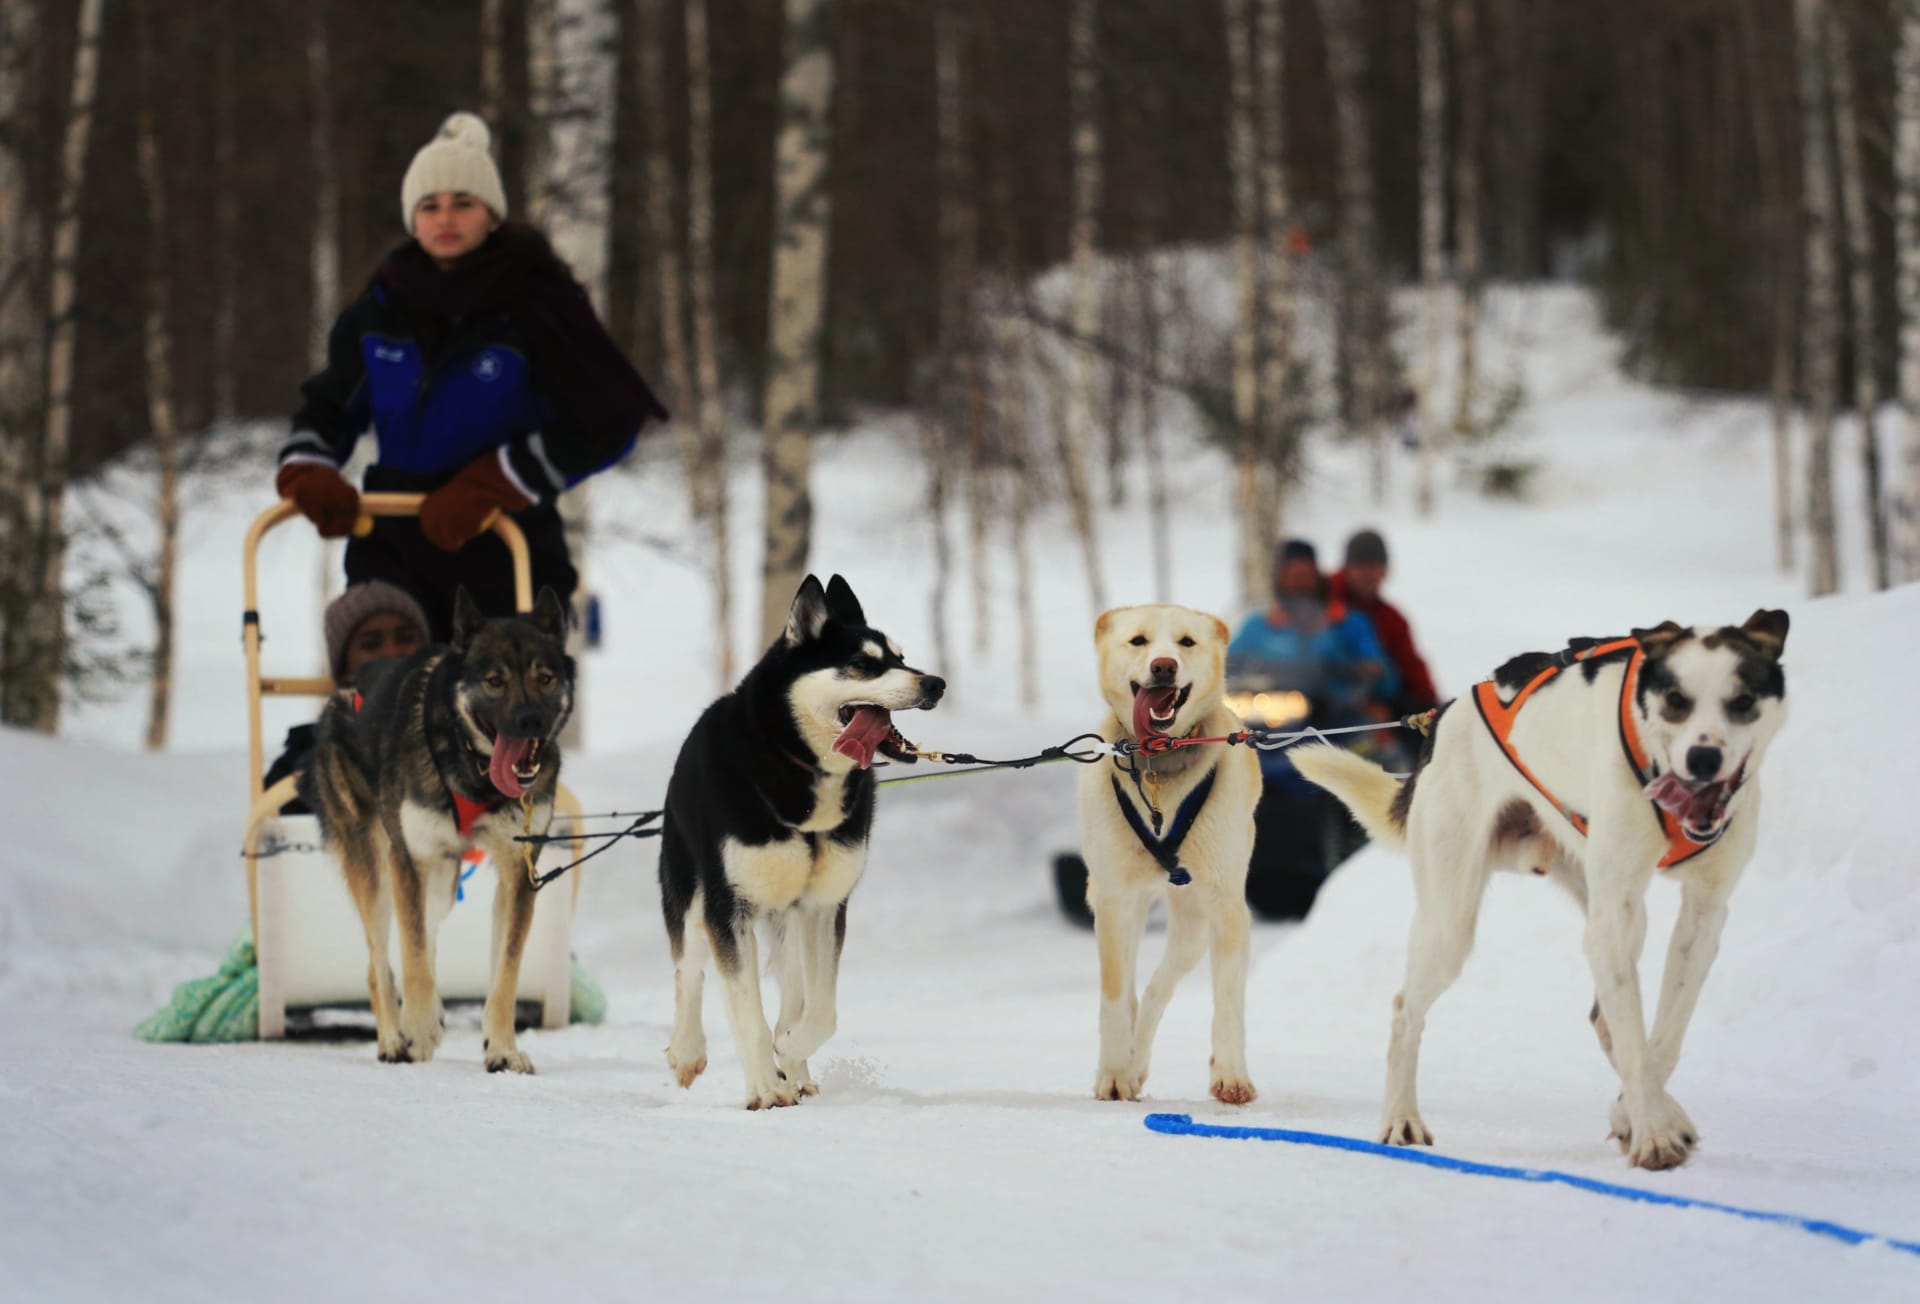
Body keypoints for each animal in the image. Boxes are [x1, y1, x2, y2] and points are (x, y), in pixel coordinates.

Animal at [1075, 606, 1267, 1106]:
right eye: (1139, 641)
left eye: (1186, 642)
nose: (1165, 666)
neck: (1159, 765)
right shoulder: (1113, 901)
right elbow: (1114, 998)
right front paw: (1114, 1074)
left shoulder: (1226, 906)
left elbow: (1228, 999)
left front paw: (1232, 1075)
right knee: (1133, 993)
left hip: (1194, 928)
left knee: (1158, 989)